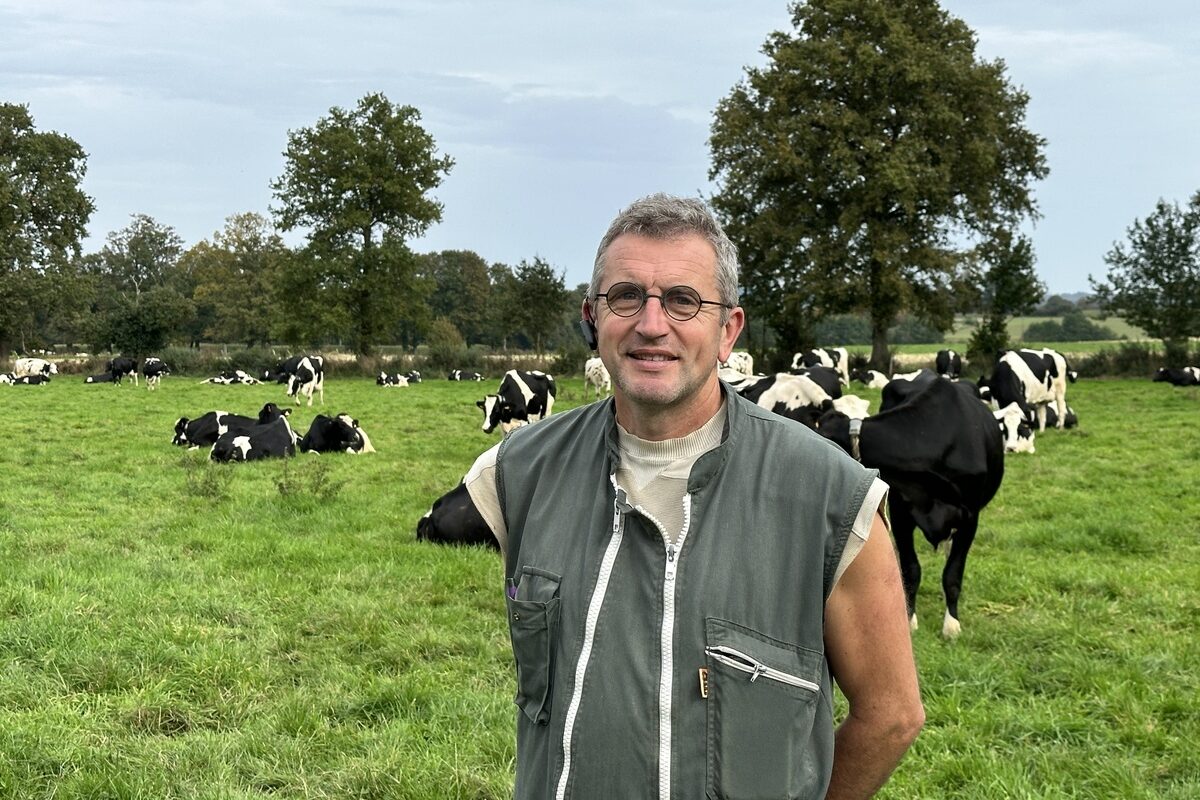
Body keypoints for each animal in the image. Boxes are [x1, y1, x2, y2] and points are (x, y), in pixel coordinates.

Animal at [816, 374, 1003, 638]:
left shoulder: (970, 518)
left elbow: (953, 574)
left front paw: (951, 625)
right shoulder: (900, 512)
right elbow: (911, 569)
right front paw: (910, 619)